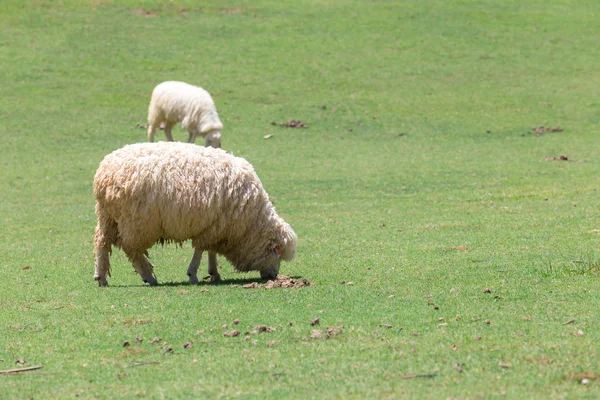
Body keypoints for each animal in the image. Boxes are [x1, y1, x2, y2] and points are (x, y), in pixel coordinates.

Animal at [93, 142, 298, 286]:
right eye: (277, 254)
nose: (273, 276)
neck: (250, 225)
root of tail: (104, 174)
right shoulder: (212, 227)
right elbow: (201, 249)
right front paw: (193, 274)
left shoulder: (216, 226)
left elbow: (211, 250)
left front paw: (214, 273)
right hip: (137, 222)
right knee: (131, 249)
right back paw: (148, 276)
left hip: (108, 217)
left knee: (102, 243)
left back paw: (101, 277)